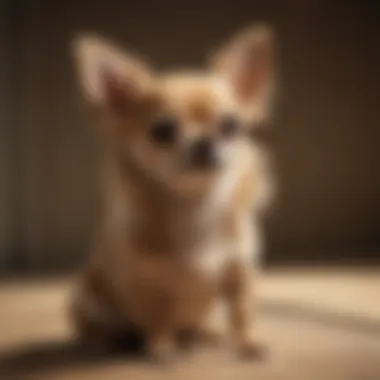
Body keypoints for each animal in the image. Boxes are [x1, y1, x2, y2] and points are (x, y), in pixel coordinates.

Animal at [70, 23, 274, 362]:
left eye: (231, 126)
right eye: (163, 130)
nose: (204, 142)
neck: (195, 206)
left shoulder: (239, 272)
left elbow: (242, 311)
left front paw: (249, 341)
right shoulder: (147, 281)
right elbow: (157, 315)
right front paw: (160, 346)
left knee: (193, 326)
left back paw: (203, 334)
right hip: (88, 300)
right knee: (94, 328)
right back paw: (115, 340)